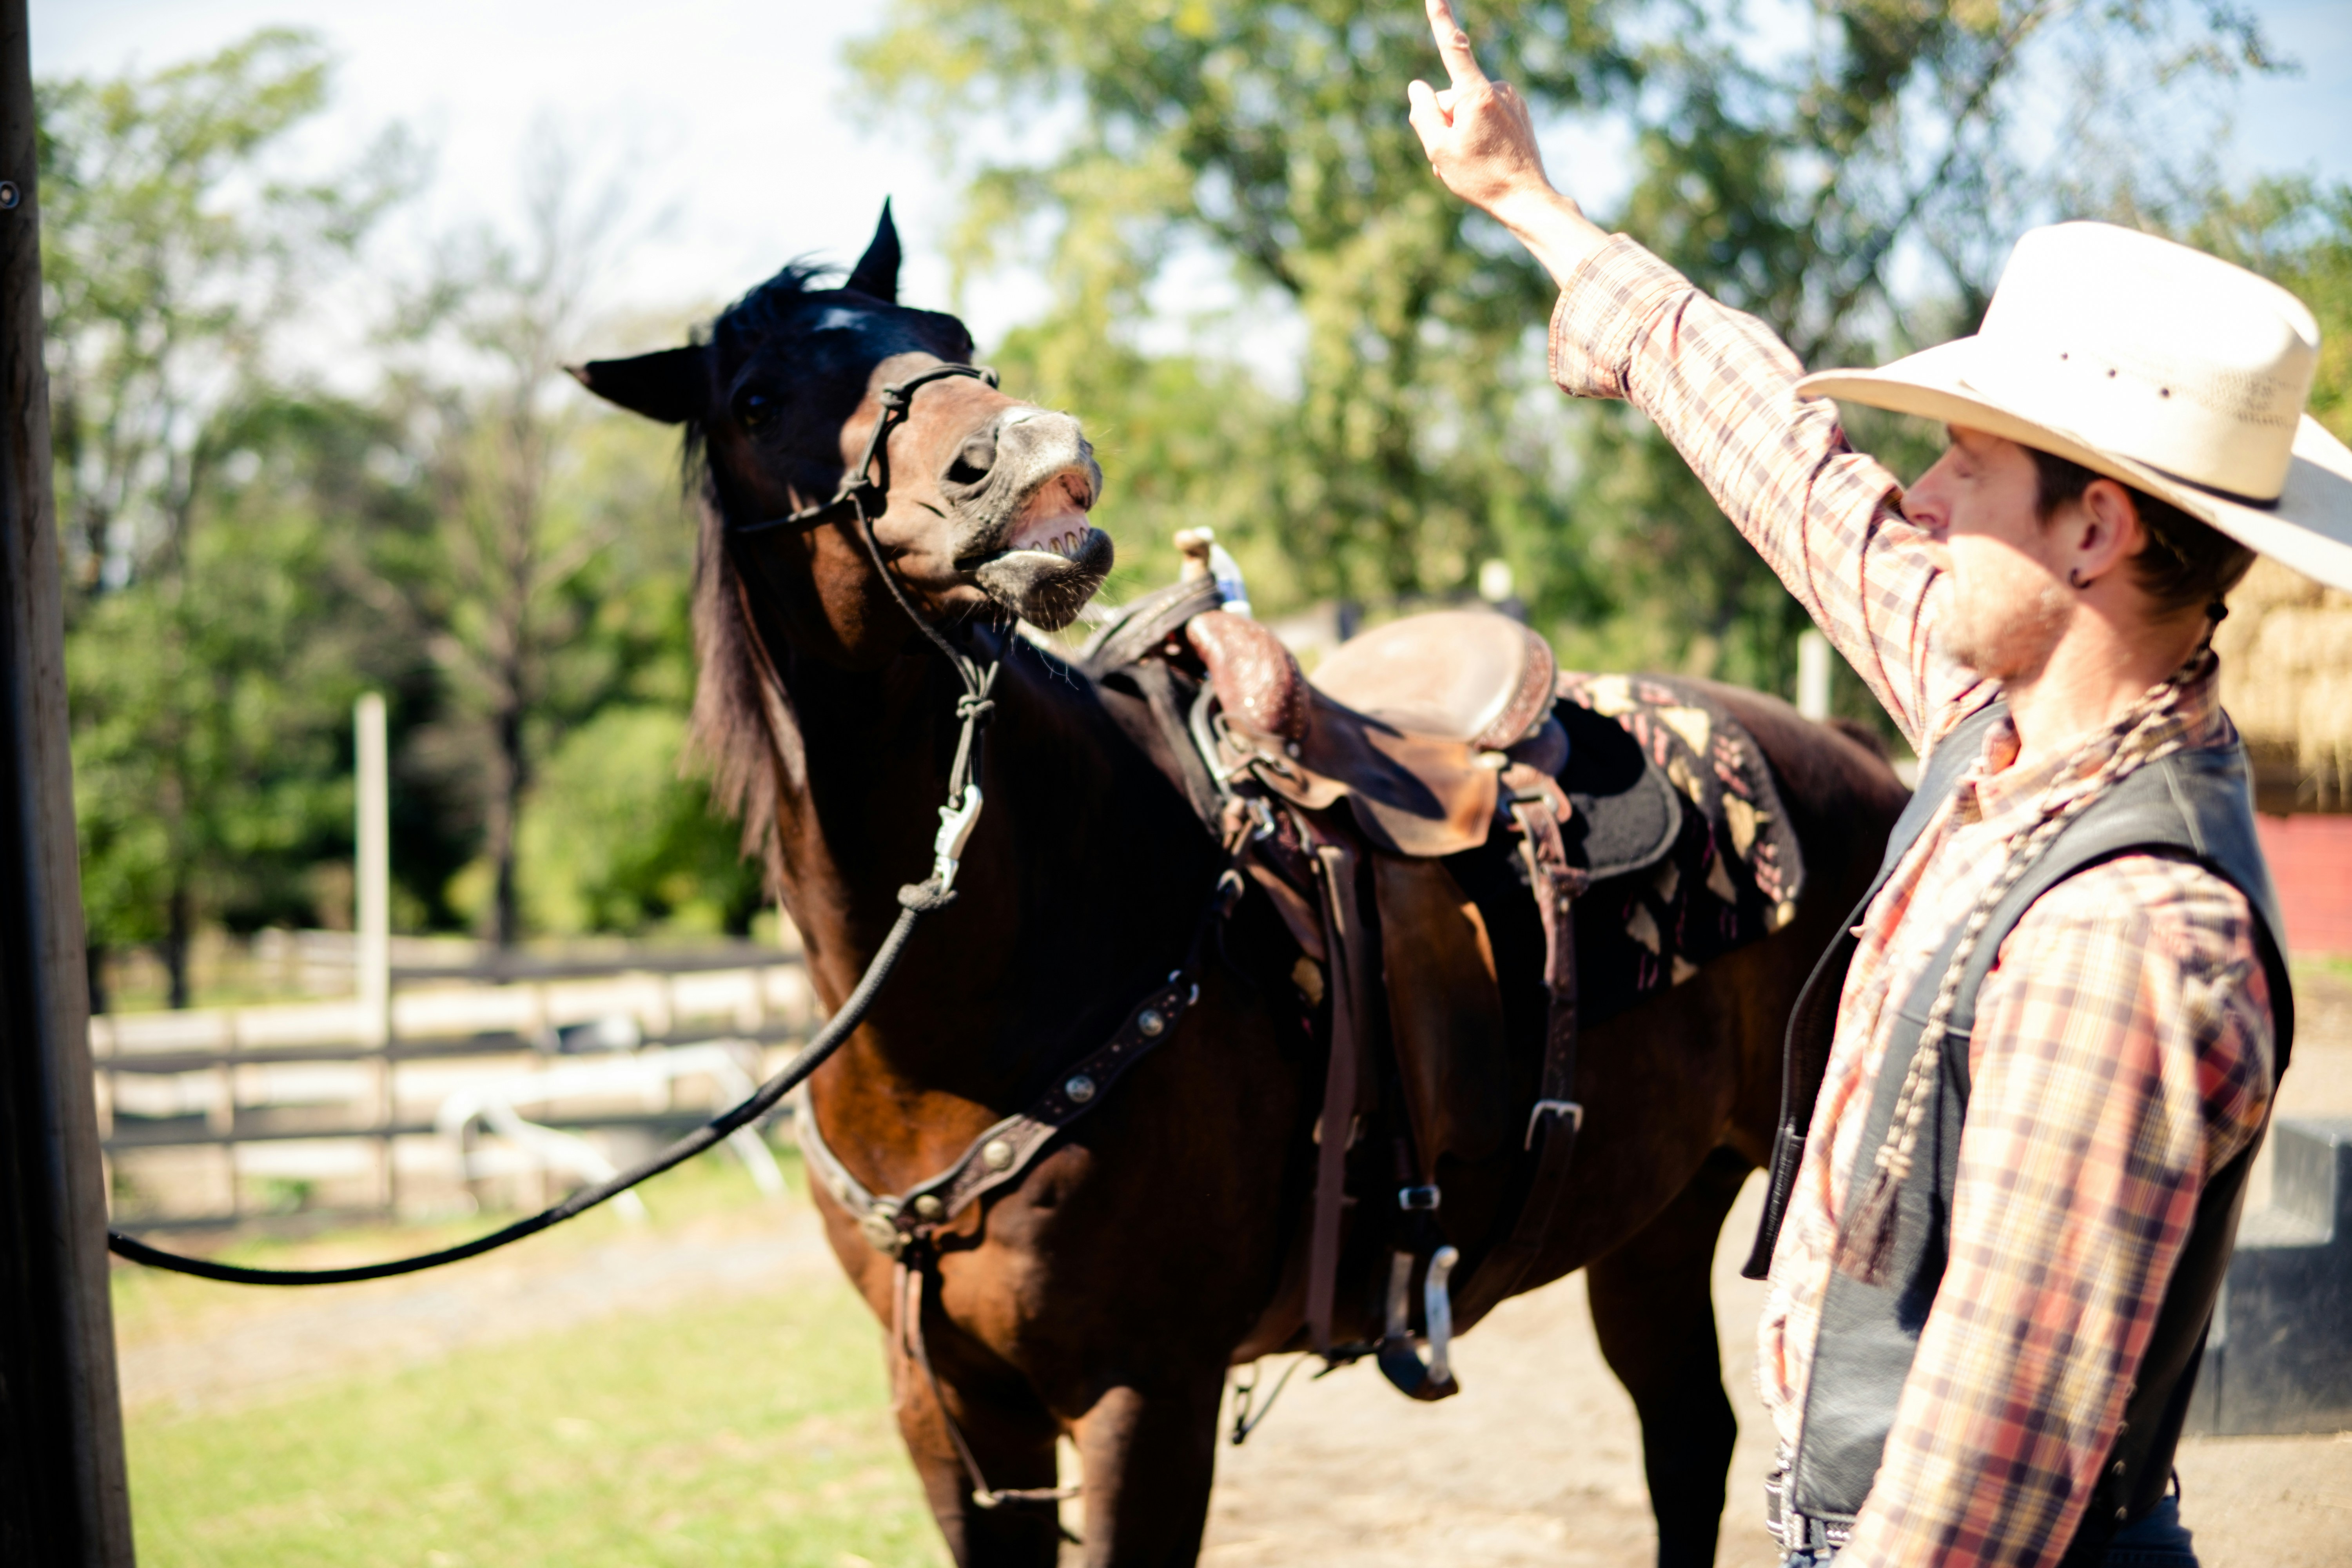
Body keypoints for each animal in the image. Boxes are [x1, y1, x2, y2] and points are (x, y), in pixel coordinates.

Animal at [573, 204, 1909, 1568]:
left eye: (948, 334)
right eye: (752, 400)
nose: (1031, 459)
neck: (959, 1012)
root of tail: (1853, 751)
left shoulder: (1145, 1396)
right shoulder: (946, 1417)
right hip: (1655, 1220)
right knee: (1687, 1439)